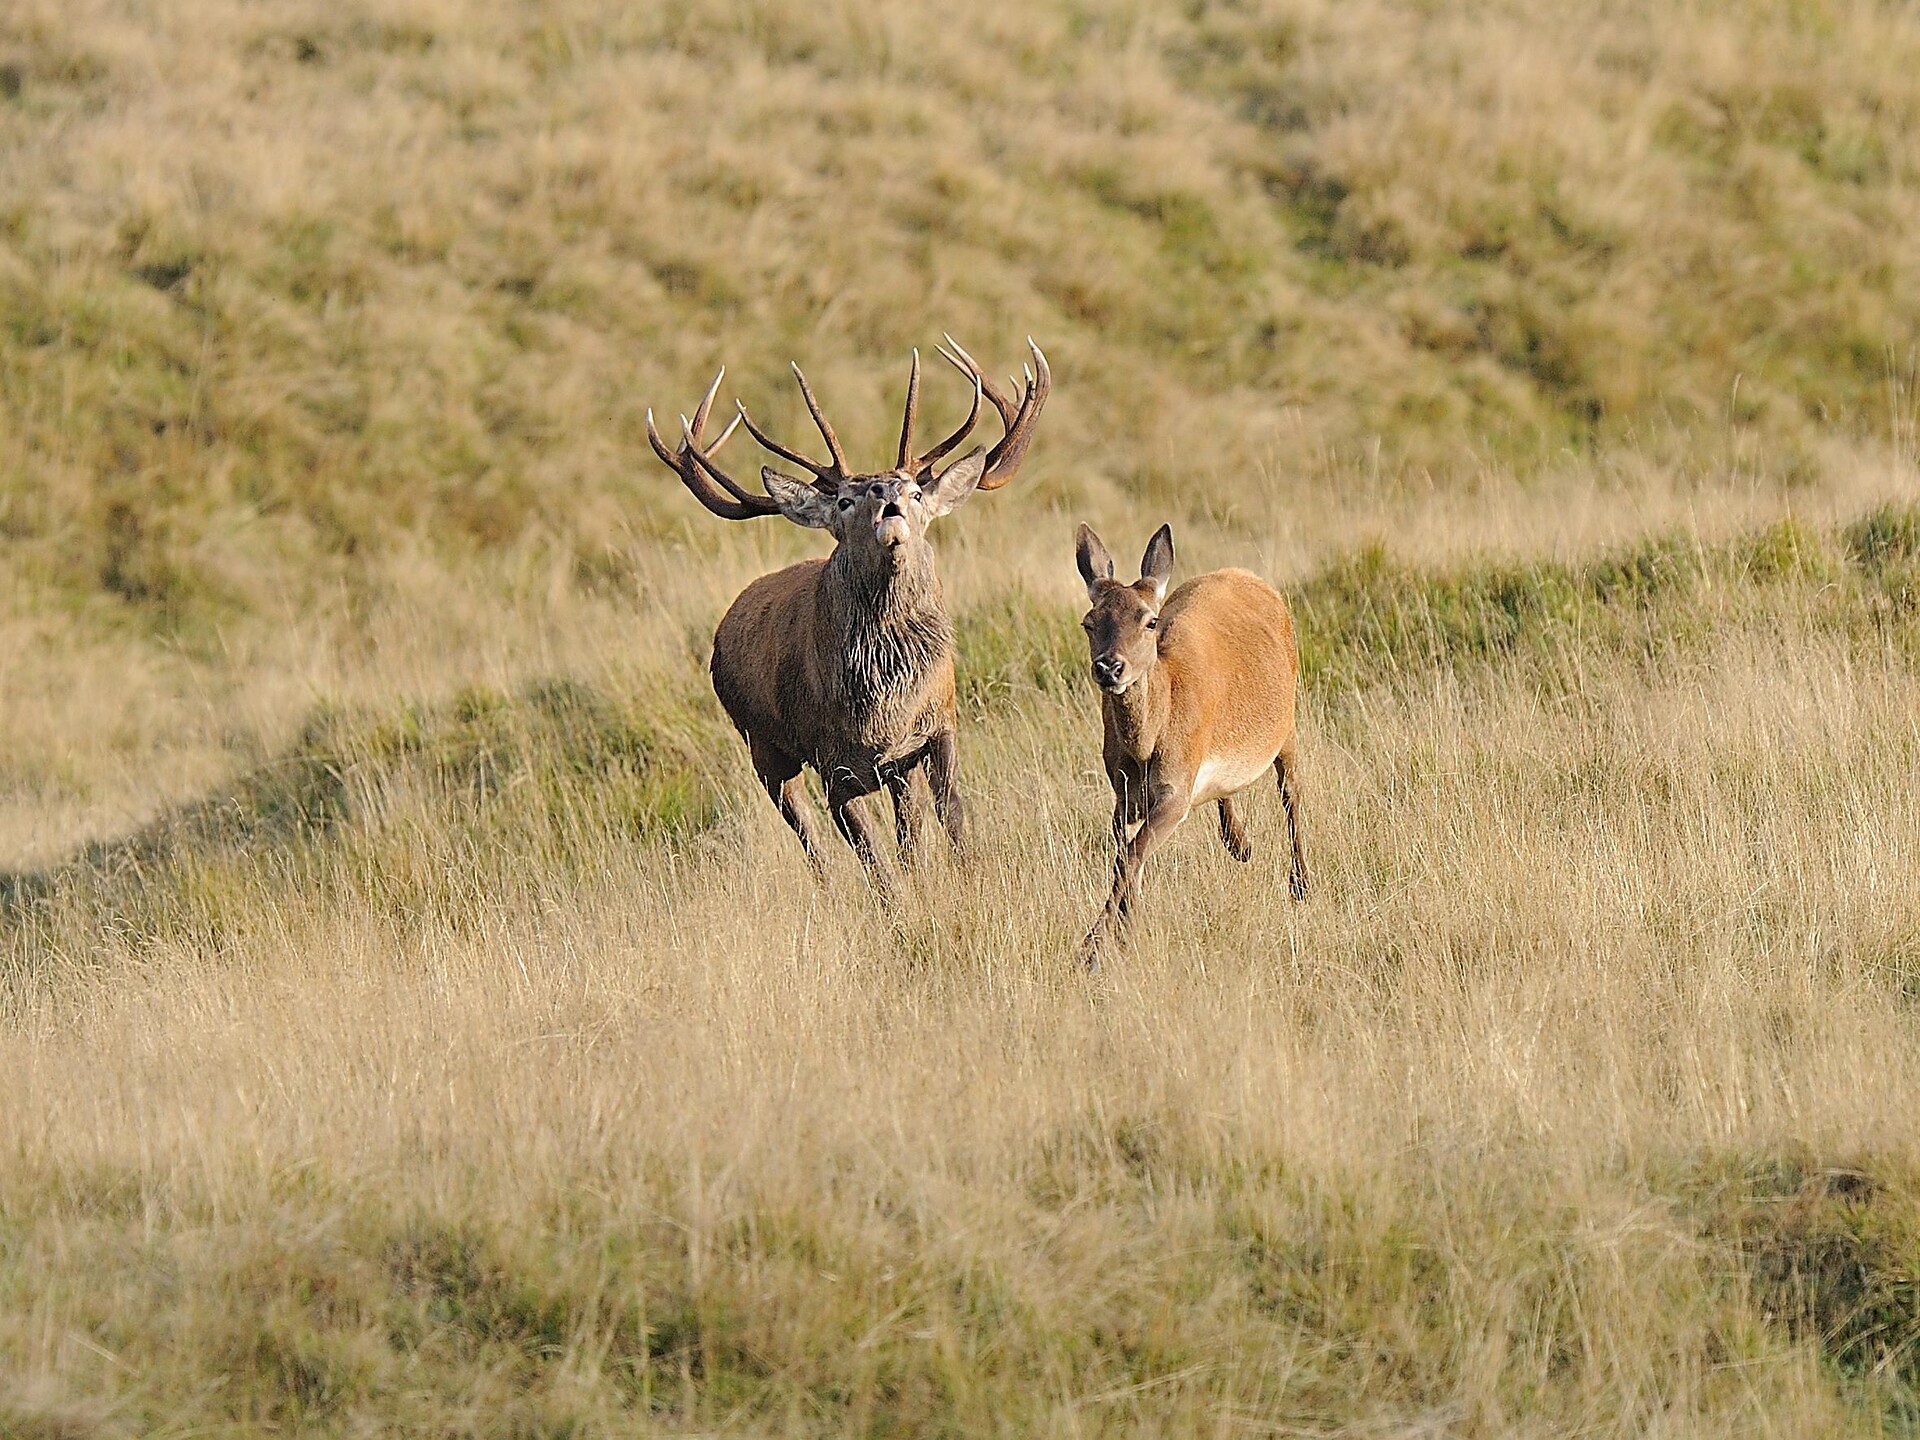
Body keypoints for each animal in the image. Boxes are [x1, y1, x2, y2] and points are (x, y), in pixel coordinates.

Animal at [648, 341, 1044, 879]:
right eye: (842, 501)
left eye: (915, 491)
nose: (885, 492)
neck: (880, 708)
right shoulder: (831, 764)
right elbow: (875, 861)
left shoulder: (934, 729)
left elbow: (945, 819)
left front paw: (965, 878)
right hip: (762, 746)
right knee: (808, 835)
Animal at [1075, 526, 1313, 963]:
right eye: (1089, 621)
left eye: (1150, 621)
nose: (1109, 667)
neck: (1145, 749)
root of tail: (1250, 577)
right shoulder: (1122, 794)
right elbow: (1125, 856)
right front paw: (1127, 930)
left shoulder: (1176, 789)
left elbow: (1131, 855)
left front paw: (1093, 948)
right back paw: (1241, 844)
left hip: (1288, 724)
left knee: (1292, 793)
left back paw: (1300, 883)